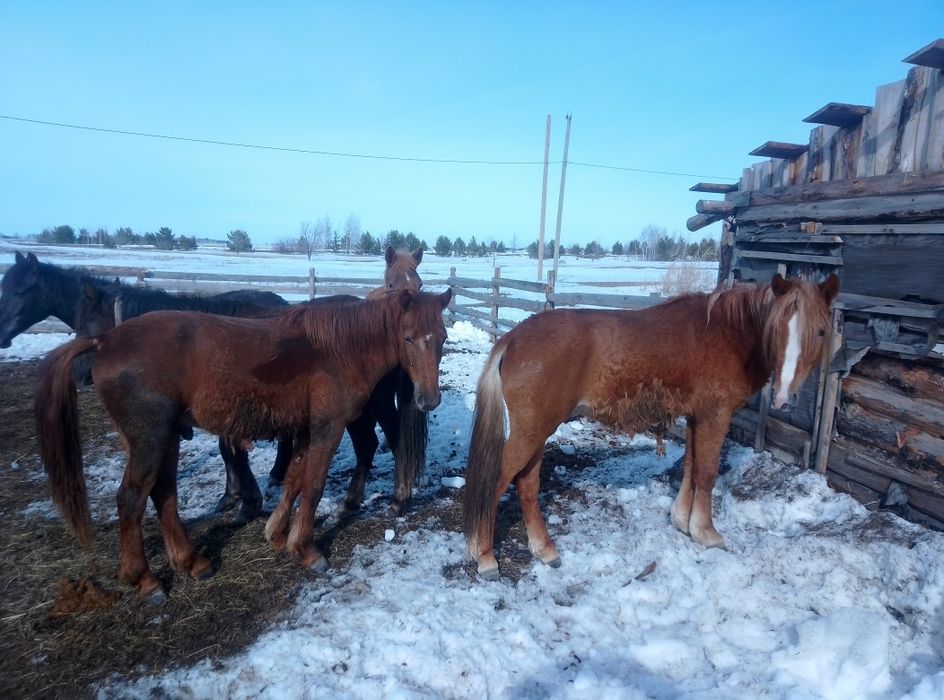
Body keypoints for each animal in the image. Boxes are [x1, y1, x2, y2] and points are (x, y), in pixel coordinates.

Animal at [35, 288, 452, 602]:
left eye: (443, 338)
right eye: (408, 338)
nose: (429, 400)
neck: (338, 350)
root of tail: (105, 341)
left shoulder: (304, 430)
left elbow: (294, 479)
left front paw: (278, 534)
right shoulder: (326, 428)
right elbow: (313, 485)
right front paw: (306, 550)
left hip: (165, 439)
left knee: (163, 494)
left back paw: (193, 562)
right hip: (150, 440)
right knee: (132, 500)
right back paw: (146, 580)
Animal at [463, 273, 839, 579]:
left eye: (820, 331)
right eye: (777, 329)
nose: (785, 397)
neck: (728, 332)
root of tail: (512, 339)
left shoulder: (695, 416)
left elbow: (690, 466)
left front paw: (682, 521)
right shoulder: (715, 416)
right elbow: (707, 473)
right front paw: (706, 532)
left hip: (538, 430)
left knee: (527, 486)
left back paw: (544, 550)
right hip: (531, 431)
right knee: (496, 483)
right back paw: (485, 557)